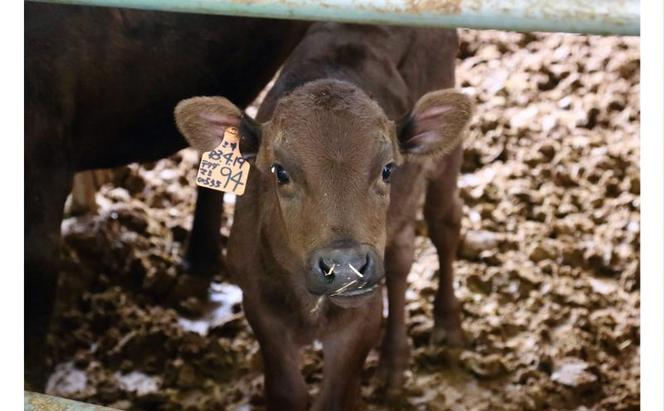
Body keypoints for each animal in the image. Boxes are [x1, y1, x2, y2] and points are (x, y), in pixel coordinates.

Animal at [174, 23, 470, 411]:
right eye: (280, 172)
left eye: (387, 168)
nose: (345, 267)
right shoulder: (260, 308)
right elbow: (287, 392)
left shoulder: (360, 319)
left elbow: (335, 397)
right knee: (401, 257)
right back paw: (393, 363)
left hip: (445, 161)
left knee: (444, 224)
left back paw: (447, 326)